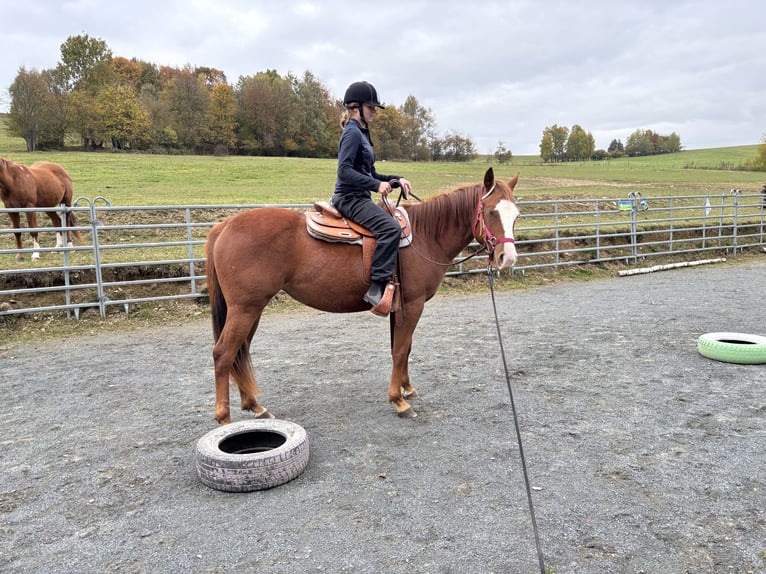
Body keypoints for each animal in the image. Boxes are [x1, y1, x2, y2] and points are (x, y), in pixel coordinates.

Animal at [205, 167, 520, 424]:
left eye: (516, 215)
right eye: (491, 211)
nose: (507, 258)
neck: (425, 236)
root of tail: (225, 225)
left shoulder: (399, 308)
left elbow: (402, 348)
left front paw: (407, 388)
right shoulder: (413, 304)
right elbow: (400, 350)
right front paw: (399, 401)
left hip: (251, 309)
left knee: (240, 352)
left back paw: (256, 406)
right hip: (245, 308)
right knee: (224, 354)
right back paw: (224, 418)